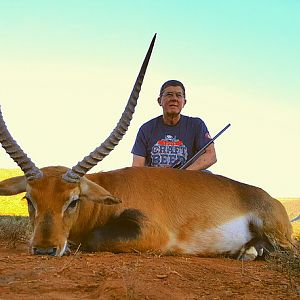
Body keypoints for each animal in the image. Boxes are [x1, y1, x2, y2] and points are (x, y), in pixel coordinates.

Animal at [0, 35, 296, 260]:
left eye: (73, 201)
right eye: (29, 200)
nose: (44, 250)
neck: (109, 193)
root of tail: (270, 198)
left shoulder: (152, 233)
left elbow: (93, 239)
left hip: (279, 235)